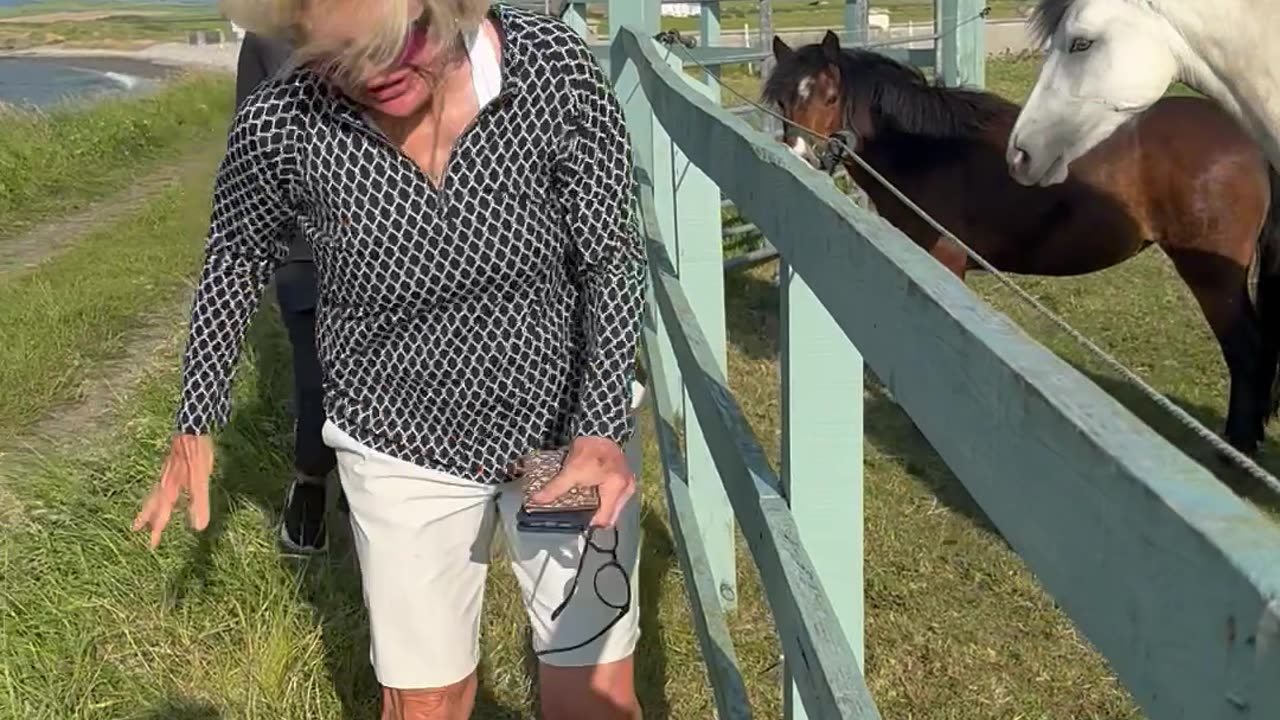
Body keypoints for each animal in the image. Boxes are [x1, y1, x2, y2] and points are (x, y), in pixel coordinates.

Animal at [762, 30, 1280, 453]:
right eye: (783, 101)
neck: (933, 150)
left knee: (1246, 349)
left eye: (830, 96)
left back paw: (1237, 444)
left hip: (1211, 276)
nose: (800, 156)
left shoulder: (945, 261)